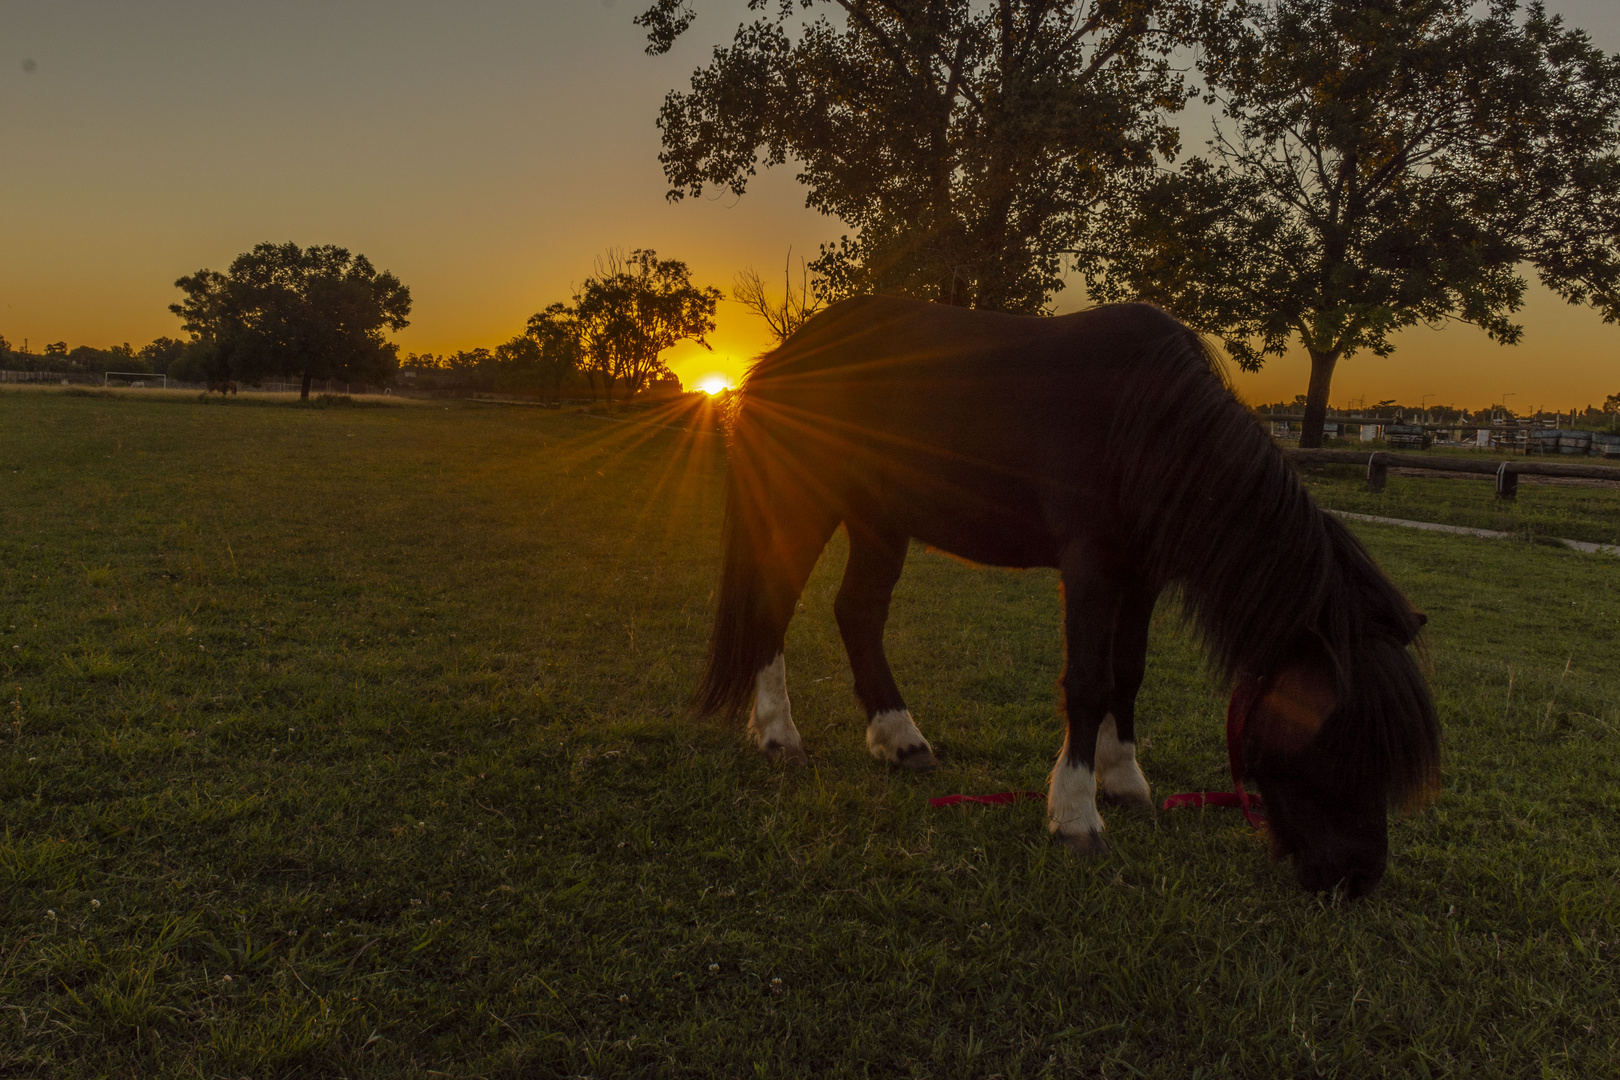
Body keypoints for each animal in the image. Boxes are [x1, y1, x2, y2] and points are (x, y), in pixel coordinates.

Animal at [696, 293, 1445, 893]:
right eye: (1339, 737)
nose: (1356, 876)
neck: (1145, 417)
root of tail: (783, 355)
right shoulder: (1090, 567)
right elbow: (1087, 681)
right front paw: (1076, 813)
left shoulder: (1141, 576)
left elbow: (1128, 674)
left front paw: (1123, 779)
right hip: (804, 499)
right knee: (773, 605)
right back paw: (778, 735)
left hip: (880, 517)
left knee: (857, 614)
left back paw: (900, 739)